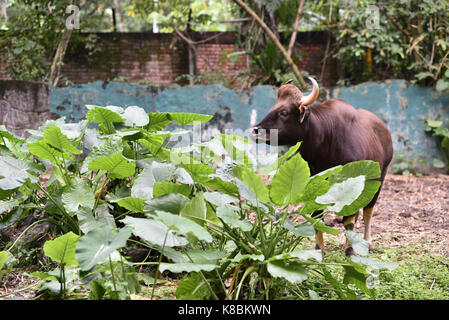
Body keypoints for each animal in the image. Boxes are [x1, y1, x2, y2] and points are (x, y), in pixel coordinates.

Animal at [252, 77, 392, 255]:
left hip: (378, 180)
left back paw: (368, 242)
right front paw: (319, 250)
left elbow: (349, 221)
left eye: (284, 112)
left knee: (368, 211)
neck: (327, 141)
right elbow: (318, 218)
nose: (257, 130)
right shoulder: (315, 183)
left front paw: (349, 251)